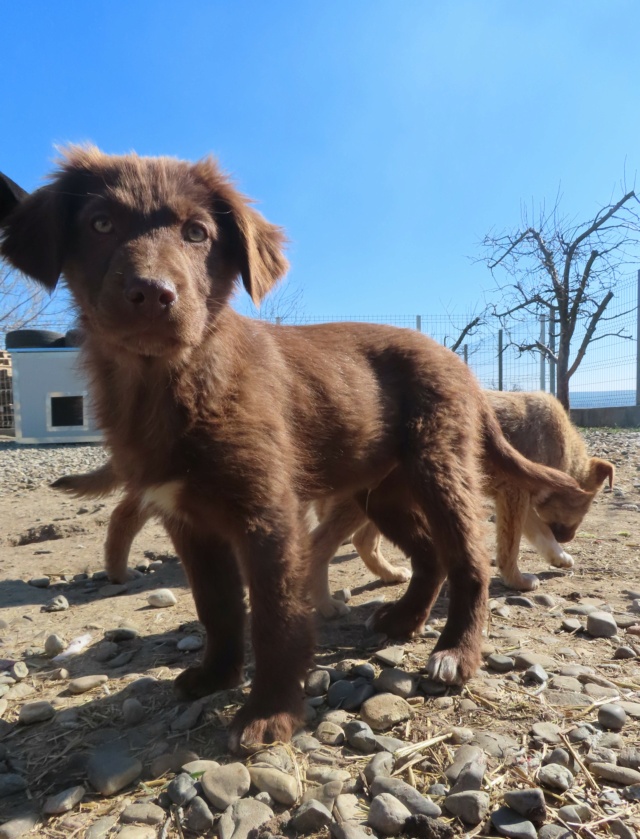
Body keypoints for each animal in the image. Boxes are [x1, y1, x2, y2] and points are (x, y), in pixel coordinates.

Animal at [0, 148, 592, 752]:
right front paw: (216, 676)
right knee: (429, 555)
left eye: (197, 232)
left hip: (438, 467)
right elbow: (216, 606)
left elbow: (275, 615)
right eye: (100, 224)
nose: (153, 293)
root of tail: (461, 367)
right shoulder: (189, 521)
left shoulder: (267, 515)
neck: (172, 381)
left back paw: (455, 652)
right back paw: (401, 621)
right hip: (383, 492)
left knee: (467, 559)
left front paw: (270, 712)